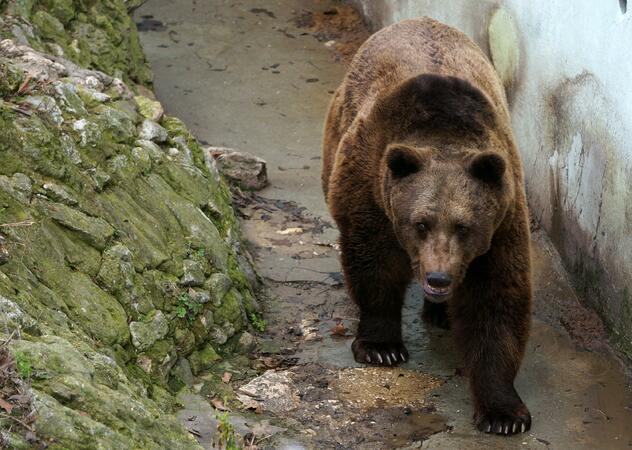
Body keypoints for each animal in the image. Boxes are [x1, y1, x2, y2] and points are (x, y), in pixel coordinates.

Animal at [320, 18, 532, 436]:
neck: (444, 134)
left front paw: (504, 413)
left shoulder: (502, 221)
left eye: (464, 226)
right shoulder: (373, 190)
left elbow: (496, 301)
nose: (438, 278)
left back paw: (440, 313)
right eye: (421, 223)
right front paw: (381, 347)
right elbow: (375, 266)